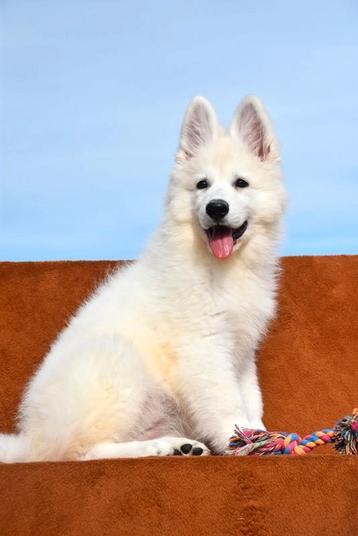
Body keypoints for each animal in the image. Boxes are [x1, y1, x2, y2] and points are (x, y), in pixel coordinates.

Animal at [0, 95, 286, 460]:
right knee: (83, 452)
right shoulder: (203, 347)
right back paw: (160, 447)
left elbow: (250, 398)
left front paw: (261, 435)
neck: (223, 266)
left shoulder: (242, 349)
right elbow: (226, 403)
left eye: (241, 183)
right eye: (202, 185)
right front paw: (242, 442)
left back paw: (179, 445)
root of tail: (31, 441)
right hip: (118, 361)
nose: (216, 207)